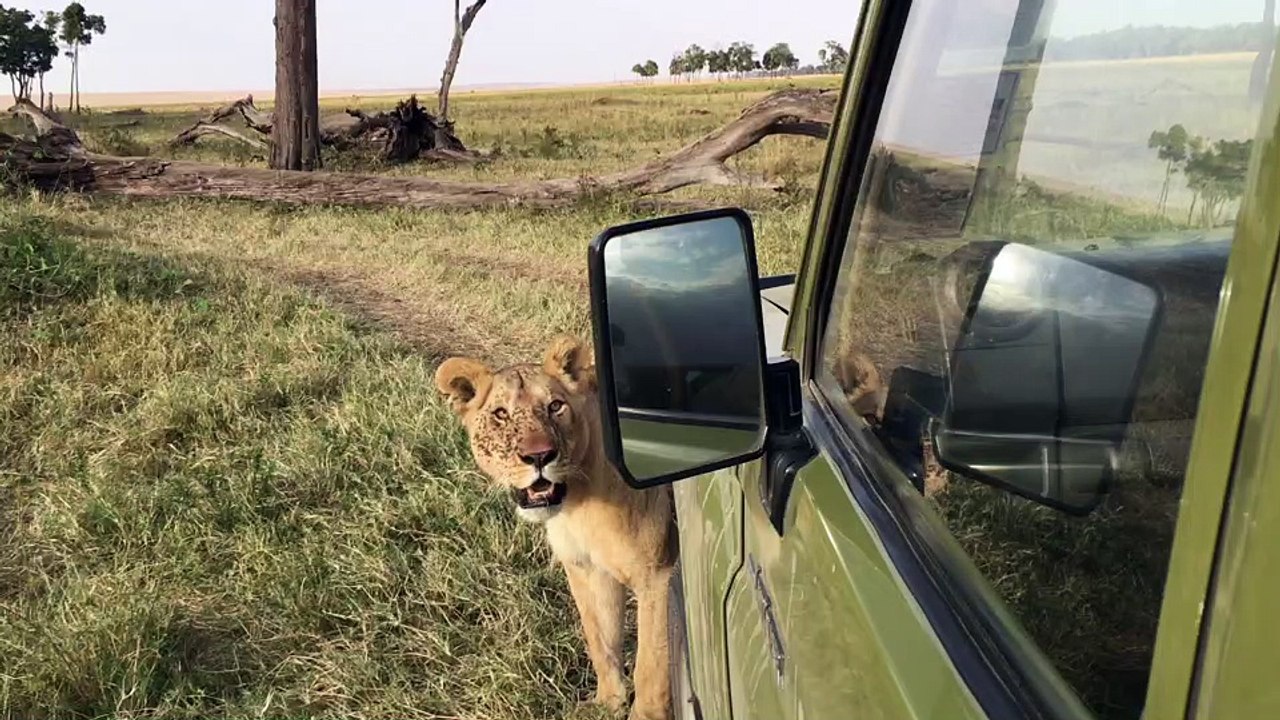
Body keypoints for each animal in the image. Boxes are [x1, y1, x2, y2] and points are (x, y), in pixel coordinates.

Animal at [435, 335, 676, 720]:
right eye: (501, 414)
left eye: (555, 406)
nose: (538, 456)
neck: (577, 505)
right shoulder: (586, 568)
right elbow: (601, 639)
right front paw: (607, 703)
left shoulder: (659, 574)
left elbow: (651, 667)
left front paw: (643, 715)